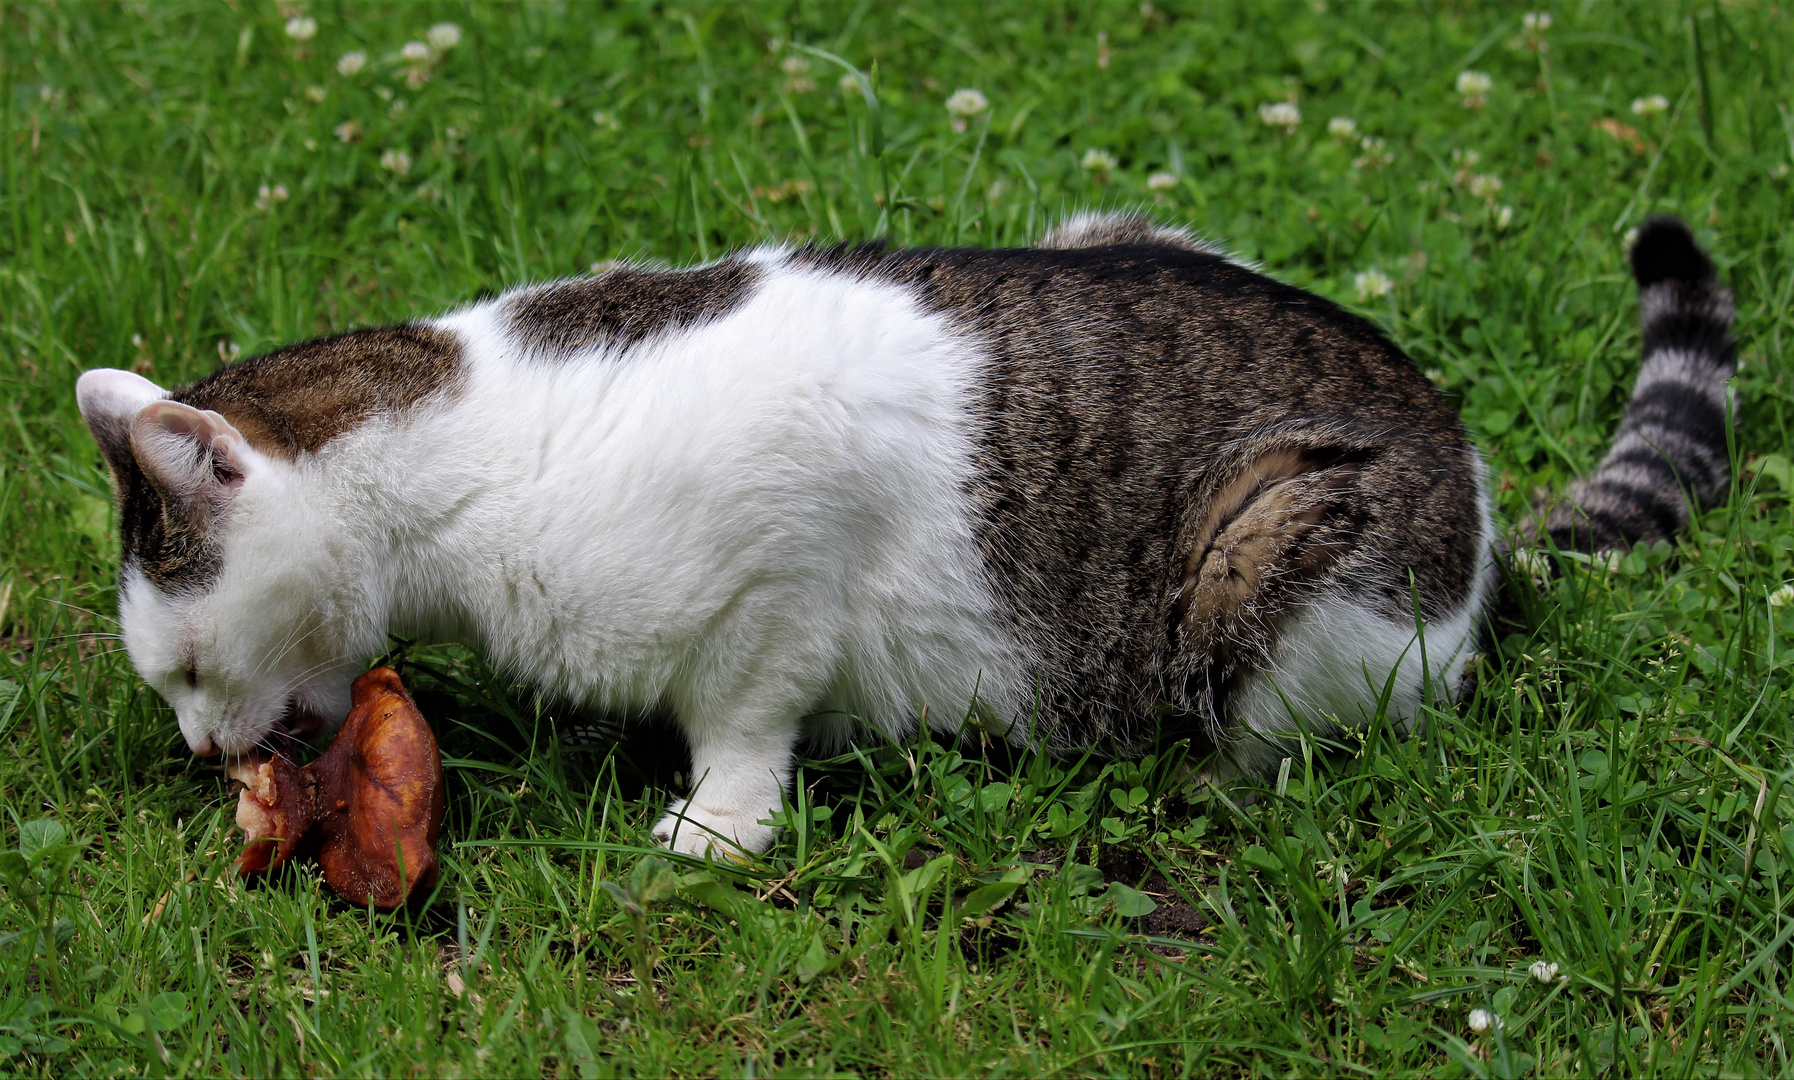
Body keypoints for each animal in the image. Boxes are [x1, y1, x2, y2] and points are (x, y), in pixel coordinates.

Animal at [77, 208, 1729, 850]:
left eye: (182, 673)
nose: (199, 754)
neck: (465, 457)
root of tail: (1474, 477)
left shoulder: (781, 563)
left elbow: (746, 722)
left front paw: (715, 830)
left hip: (1262, 566)